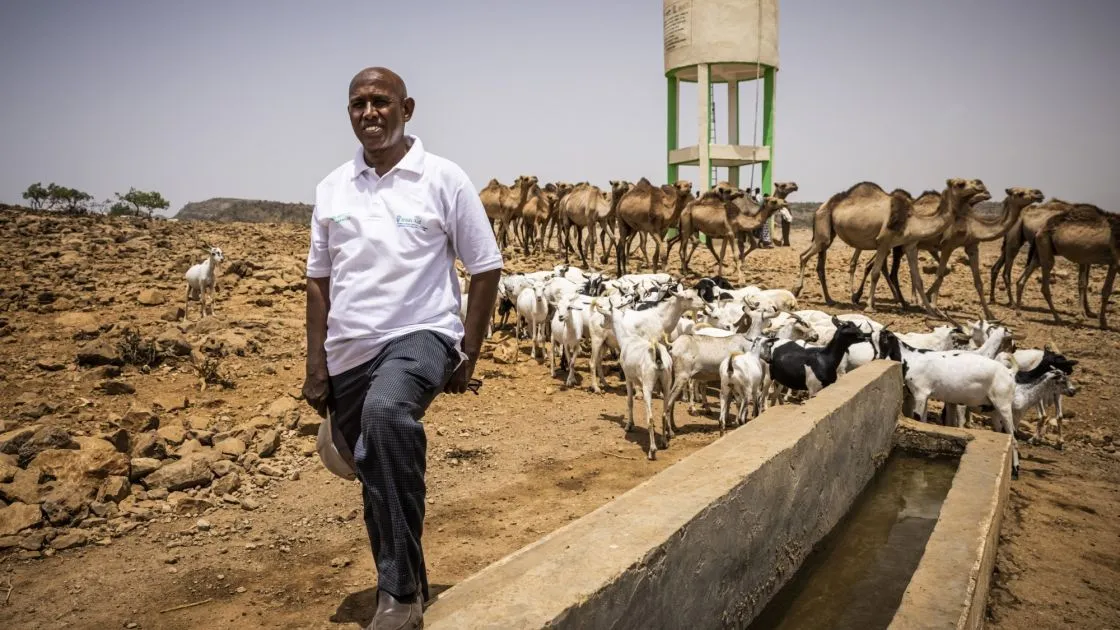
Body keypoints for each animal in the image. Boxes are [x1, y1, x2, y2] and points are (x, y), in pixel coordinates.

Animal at [792, 178, 985, 311]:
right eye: (961, 183)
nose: (981, 185)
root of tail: (819, 208)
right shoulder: (884, 241)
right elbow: (876, 272)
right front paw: (870, 306)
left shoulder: (907, 245)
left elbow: (917, 277)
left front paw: (926, 307)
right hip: (823, 231)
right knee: (803, 256)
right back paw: (796, 290)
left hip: (827, 233)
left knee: (819, 264)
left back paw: (830, 299)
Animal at [855, 183, 1048, 316]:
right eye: (1020, 193)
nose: (1039, 193)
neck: (972, 224)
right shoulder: (948, 244)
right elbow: (940, 273)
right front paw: (931, 304)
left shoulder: (972, 246)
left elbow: (977, 281)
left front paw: (990, 314)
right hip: (897, 244)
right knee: (885, 268)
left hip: (897, 245)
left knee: (880, 265)